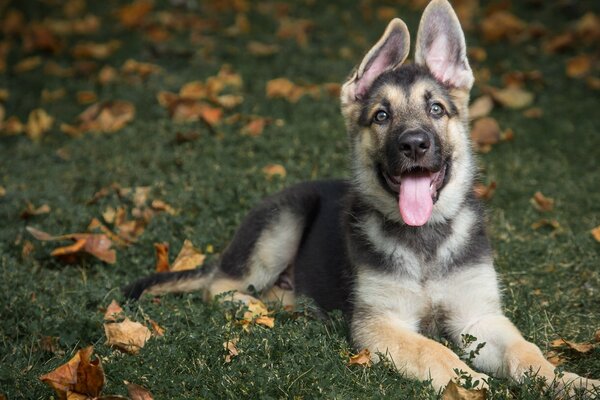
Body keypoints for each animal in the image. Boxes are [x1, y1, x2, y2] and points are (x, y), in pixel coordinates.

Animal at [124, 0, 596, 394]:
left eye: (437, 109)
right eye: (381, 116)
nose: (414, 144)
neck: (424, 239)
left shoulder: (480, 317)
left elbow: (525, 352)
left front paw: (569, 381)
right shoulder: (379, 324)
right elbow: (432, 349)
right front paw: (470, 382)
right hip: (281, 223)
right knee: (220, 288)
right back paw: (259, 309)